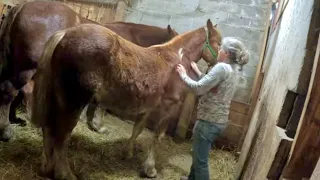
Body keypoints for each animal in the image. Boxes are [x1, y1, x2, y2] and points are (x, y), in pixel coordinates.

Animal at [0, 0, 178, 141]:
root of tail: (22, 6)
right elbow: (102, 105)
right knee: (14, 91)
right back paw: (8, 130)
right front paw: (99, 126)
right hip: (28, 68)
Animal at [31, 19, 222, 179]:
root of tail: (65, 34)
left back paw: (46, 168)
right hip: (74, 101)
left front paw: (127, 153)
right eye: (219, 42)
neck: (175, 60)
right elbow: (157, 136)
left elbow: (138, 128)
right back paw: (64, 173)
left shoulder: (150, 105)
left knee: (49, 128)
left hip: (58, 96)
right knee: (62, 133)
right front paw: (150, 169)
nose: (220, 63)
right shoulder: (170, 107)